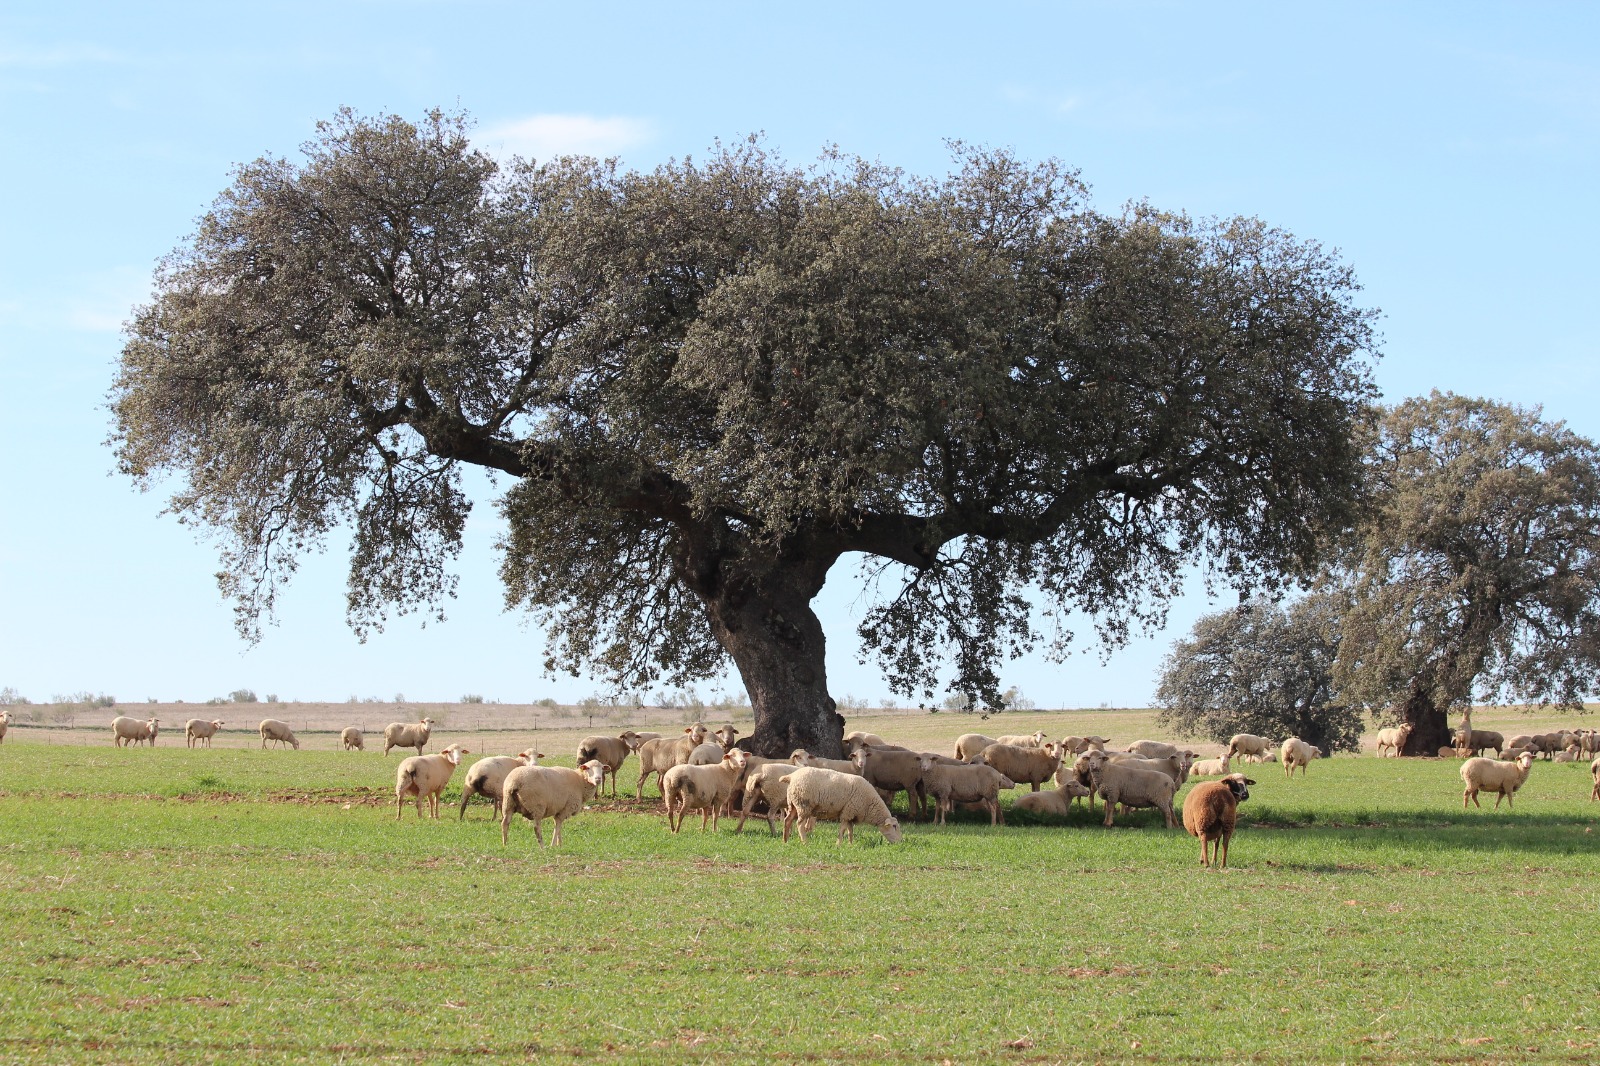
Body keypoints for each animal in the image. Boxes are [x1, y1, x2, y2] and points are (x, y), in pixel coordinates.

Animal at [780, 768, 908, 845]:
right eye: (894, 826)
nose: (900, 842)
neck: (870, 804)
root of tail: (791, 776)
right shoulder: (847, 812)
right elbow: (842, 830)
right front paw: (839, 844)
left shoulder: (851, 814)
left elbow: (850, 831)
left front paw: (851, 844)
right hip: (803, 805)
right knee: (799, 824)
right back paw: (805, 842)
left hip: (793, 804)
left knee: (787, 820)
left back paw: (785, 840)